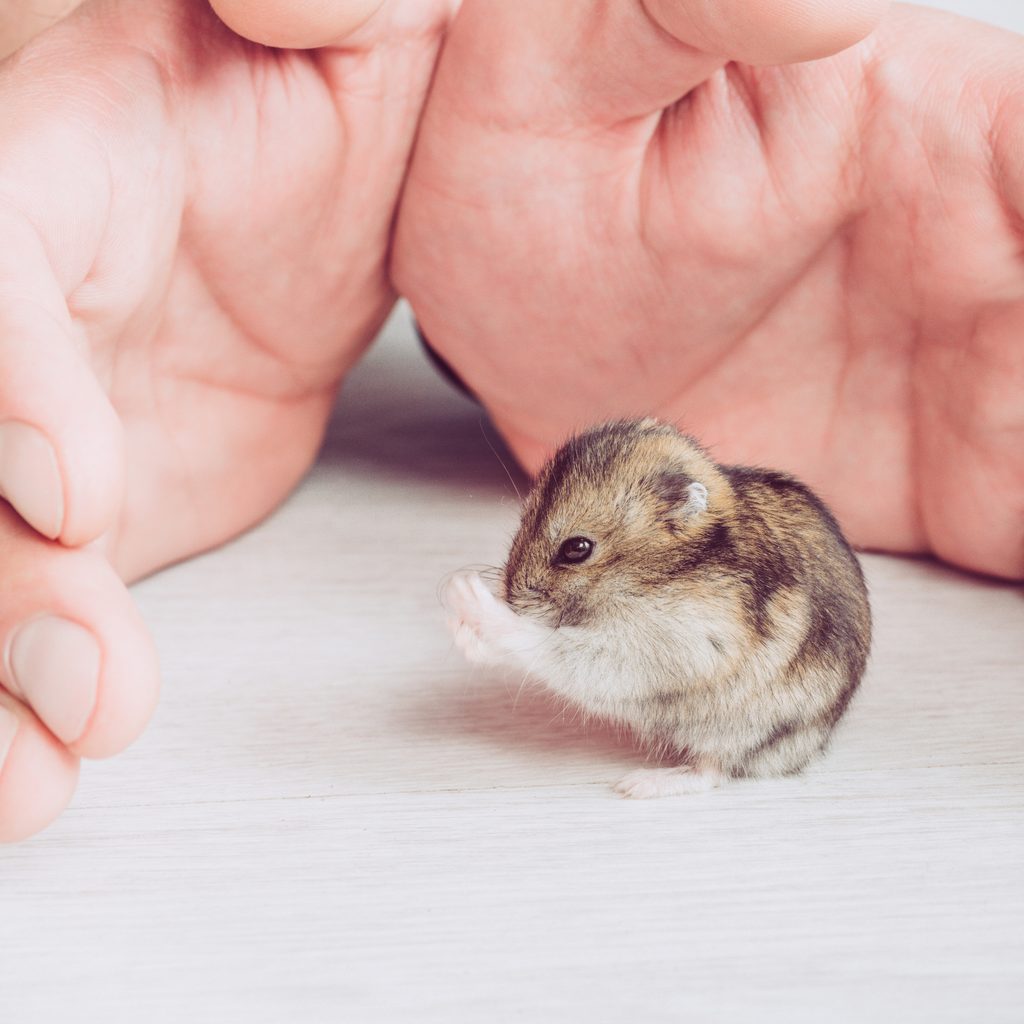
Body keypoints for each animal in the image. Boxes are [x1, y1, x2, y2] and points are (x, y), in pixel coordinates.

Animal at [442, 418, 871, 798]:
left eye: (577, 548)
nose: (512, 596)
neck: (656, 573)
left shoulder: (672, 642)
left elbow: (552, 645)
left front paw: (463, 591)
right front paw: (463, 631)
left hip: (740, 732)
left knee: (712, 772)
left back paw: (635, 785)